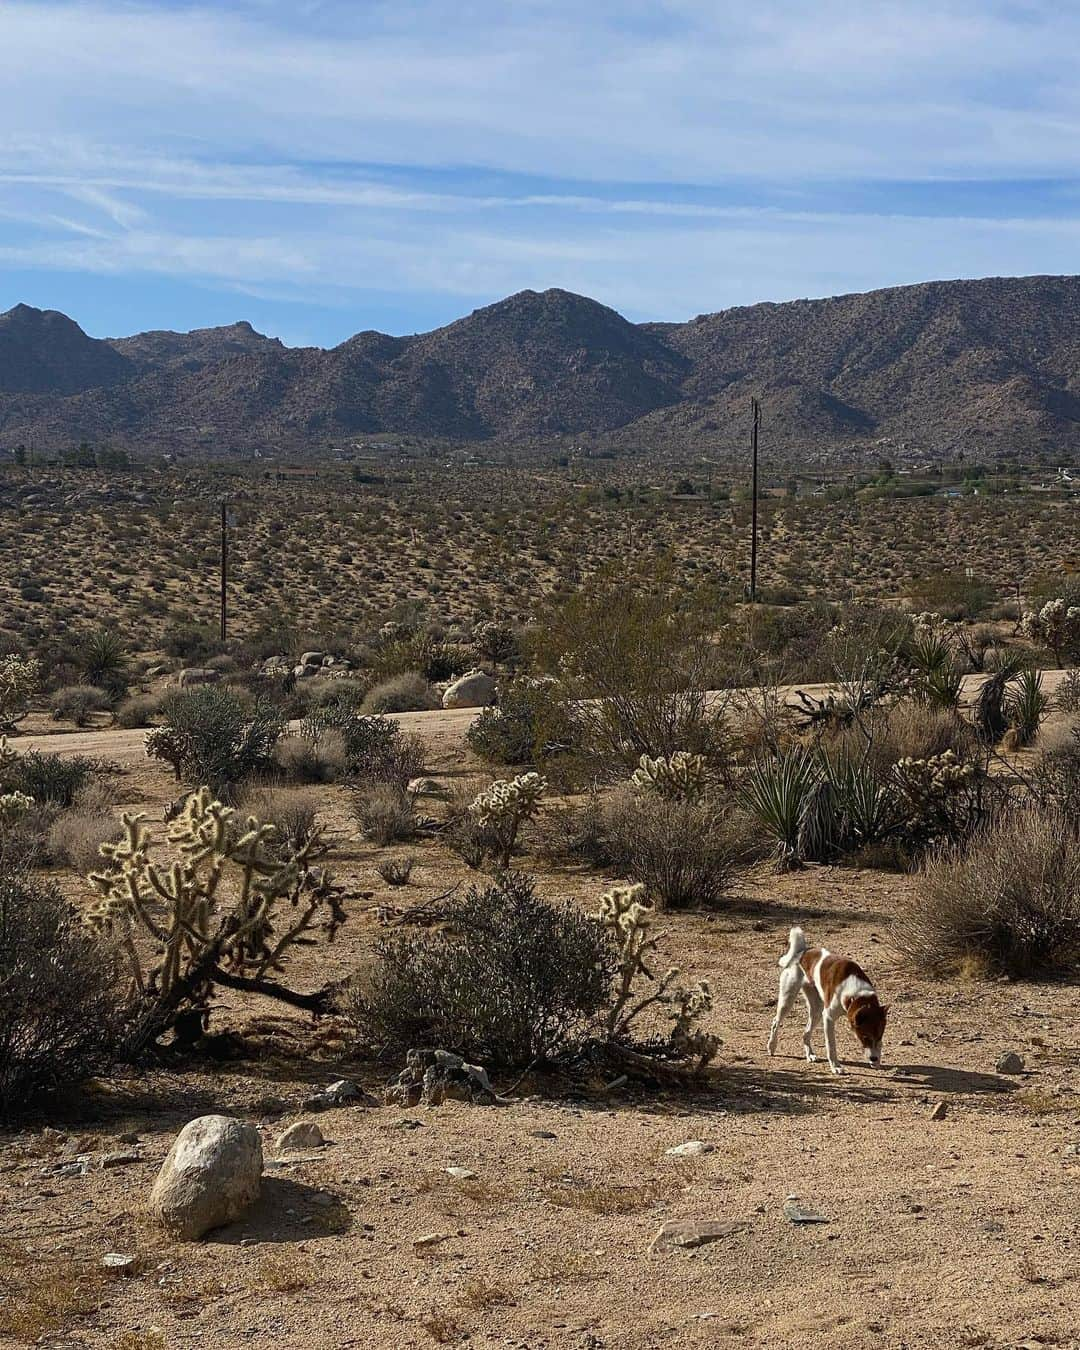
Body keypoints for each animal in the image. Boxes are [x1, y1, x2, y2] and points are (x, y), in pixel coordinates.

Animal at [761, 923, 891, 1069]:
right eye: (865, 1037)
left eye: (880, 1036)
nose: (874, 1058)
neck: (856, 994)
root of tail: (801, 952)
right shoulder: (828, 1017)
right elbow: (831, 1045)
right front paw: (835, 1066)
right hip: (787, 1000)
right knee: (775, 1022)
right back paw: (772, 1046)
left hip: (816, 1010)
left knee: (805, 1034)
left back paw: (810, 1055)